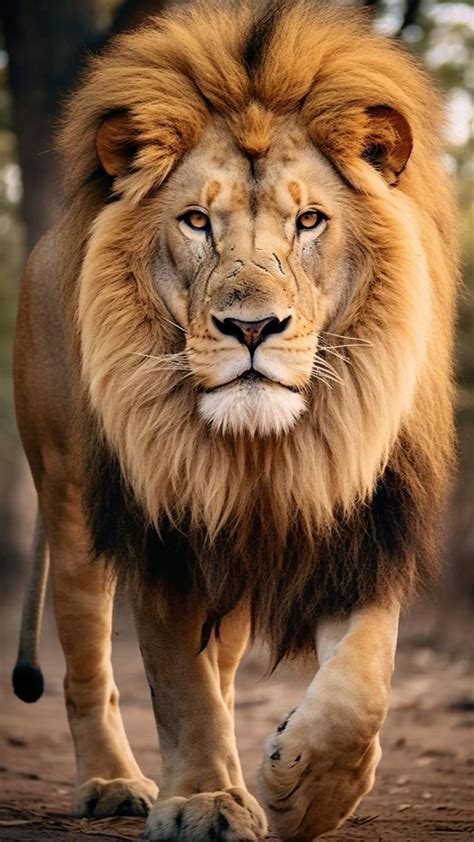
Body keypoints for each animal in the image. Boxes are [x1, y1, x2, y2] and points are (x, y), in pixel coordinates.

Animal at [12, 1, 457, 839]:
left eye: (310, 220)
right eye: (195, 221)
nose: (252, 327)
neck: (264, 450)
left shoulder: (360, 517)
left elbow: (362, 683)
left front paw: (308, 787)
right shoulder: (165, 519)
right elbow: (178, 683)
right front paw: (204, 800)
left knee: (221, 663)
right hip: (70, 499)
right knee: (89, 660)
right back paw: (112, 783)